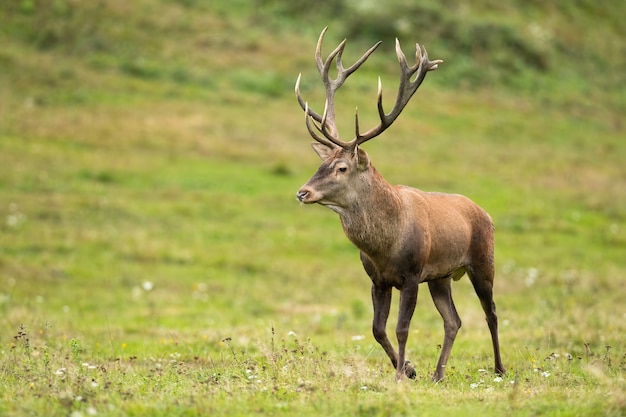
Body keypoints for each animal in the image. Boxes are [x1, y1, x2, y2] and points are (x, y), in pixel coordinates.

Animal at [292, 27, 502, 382]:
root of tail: (484, 212)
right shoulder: (378, 279)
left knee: (492, 313)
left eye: (341, 168)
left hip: (483, 260)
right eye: (322, 163)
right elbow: (377, 329)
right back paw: (438, 374)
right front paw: (409, 368)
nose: (302, 193)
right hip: (442, 276)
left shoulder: (412, 273)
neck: (385, 246)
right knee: (454, 320)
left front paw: (400, 374)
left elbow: (402, 328)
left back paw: (500, 368)